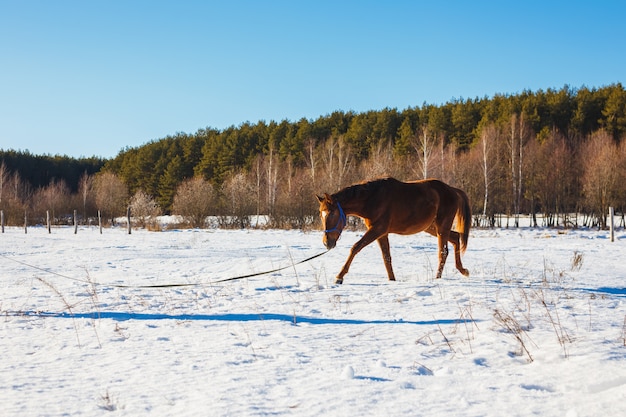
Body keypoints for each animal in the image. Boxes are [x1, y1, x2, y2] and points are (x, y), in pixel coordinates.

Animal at [316, 177, 468, 284]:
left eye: (332, 214)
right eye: (321, 214)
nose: (327, 242)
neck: (372, 199)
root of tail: (453, 190)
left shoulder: (378, 229)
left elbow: (355, 248)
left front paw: (339, 276)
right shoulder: (381, 234)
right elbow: (386, 257)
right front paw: (392, 279)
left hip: (442, 226)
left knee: (443, 252)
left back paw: (438, 278)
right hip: (433, 228)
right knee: (456, 238)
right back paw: (463, 270)